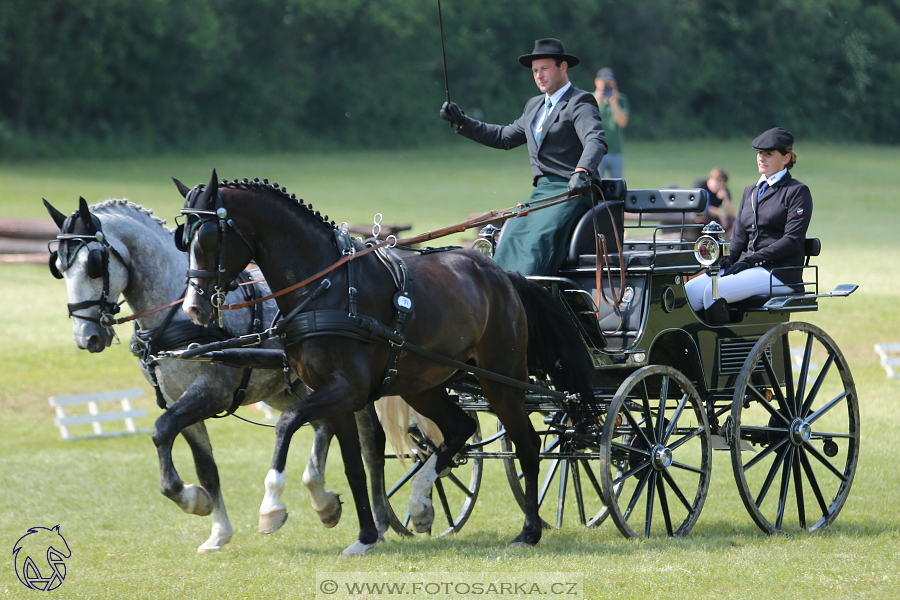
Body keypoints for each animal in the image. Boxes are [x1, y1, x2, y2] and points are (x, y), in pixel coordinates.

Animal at [178, 169, 596, 552]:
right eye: (184, 239)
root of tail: (503, 275)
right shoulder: (336, 396)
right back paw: (422, 502)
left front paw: (271, 508)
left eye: (209, 236)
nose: (193, 307)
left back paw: (529, 530)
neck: (326, 289)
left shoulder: (346, 389)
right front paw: (364, 536)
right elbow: (355, 466)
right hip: (423, 384)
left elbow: (287, 423)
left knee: (526, 443)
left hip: (500, 379)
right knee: (459, 428)